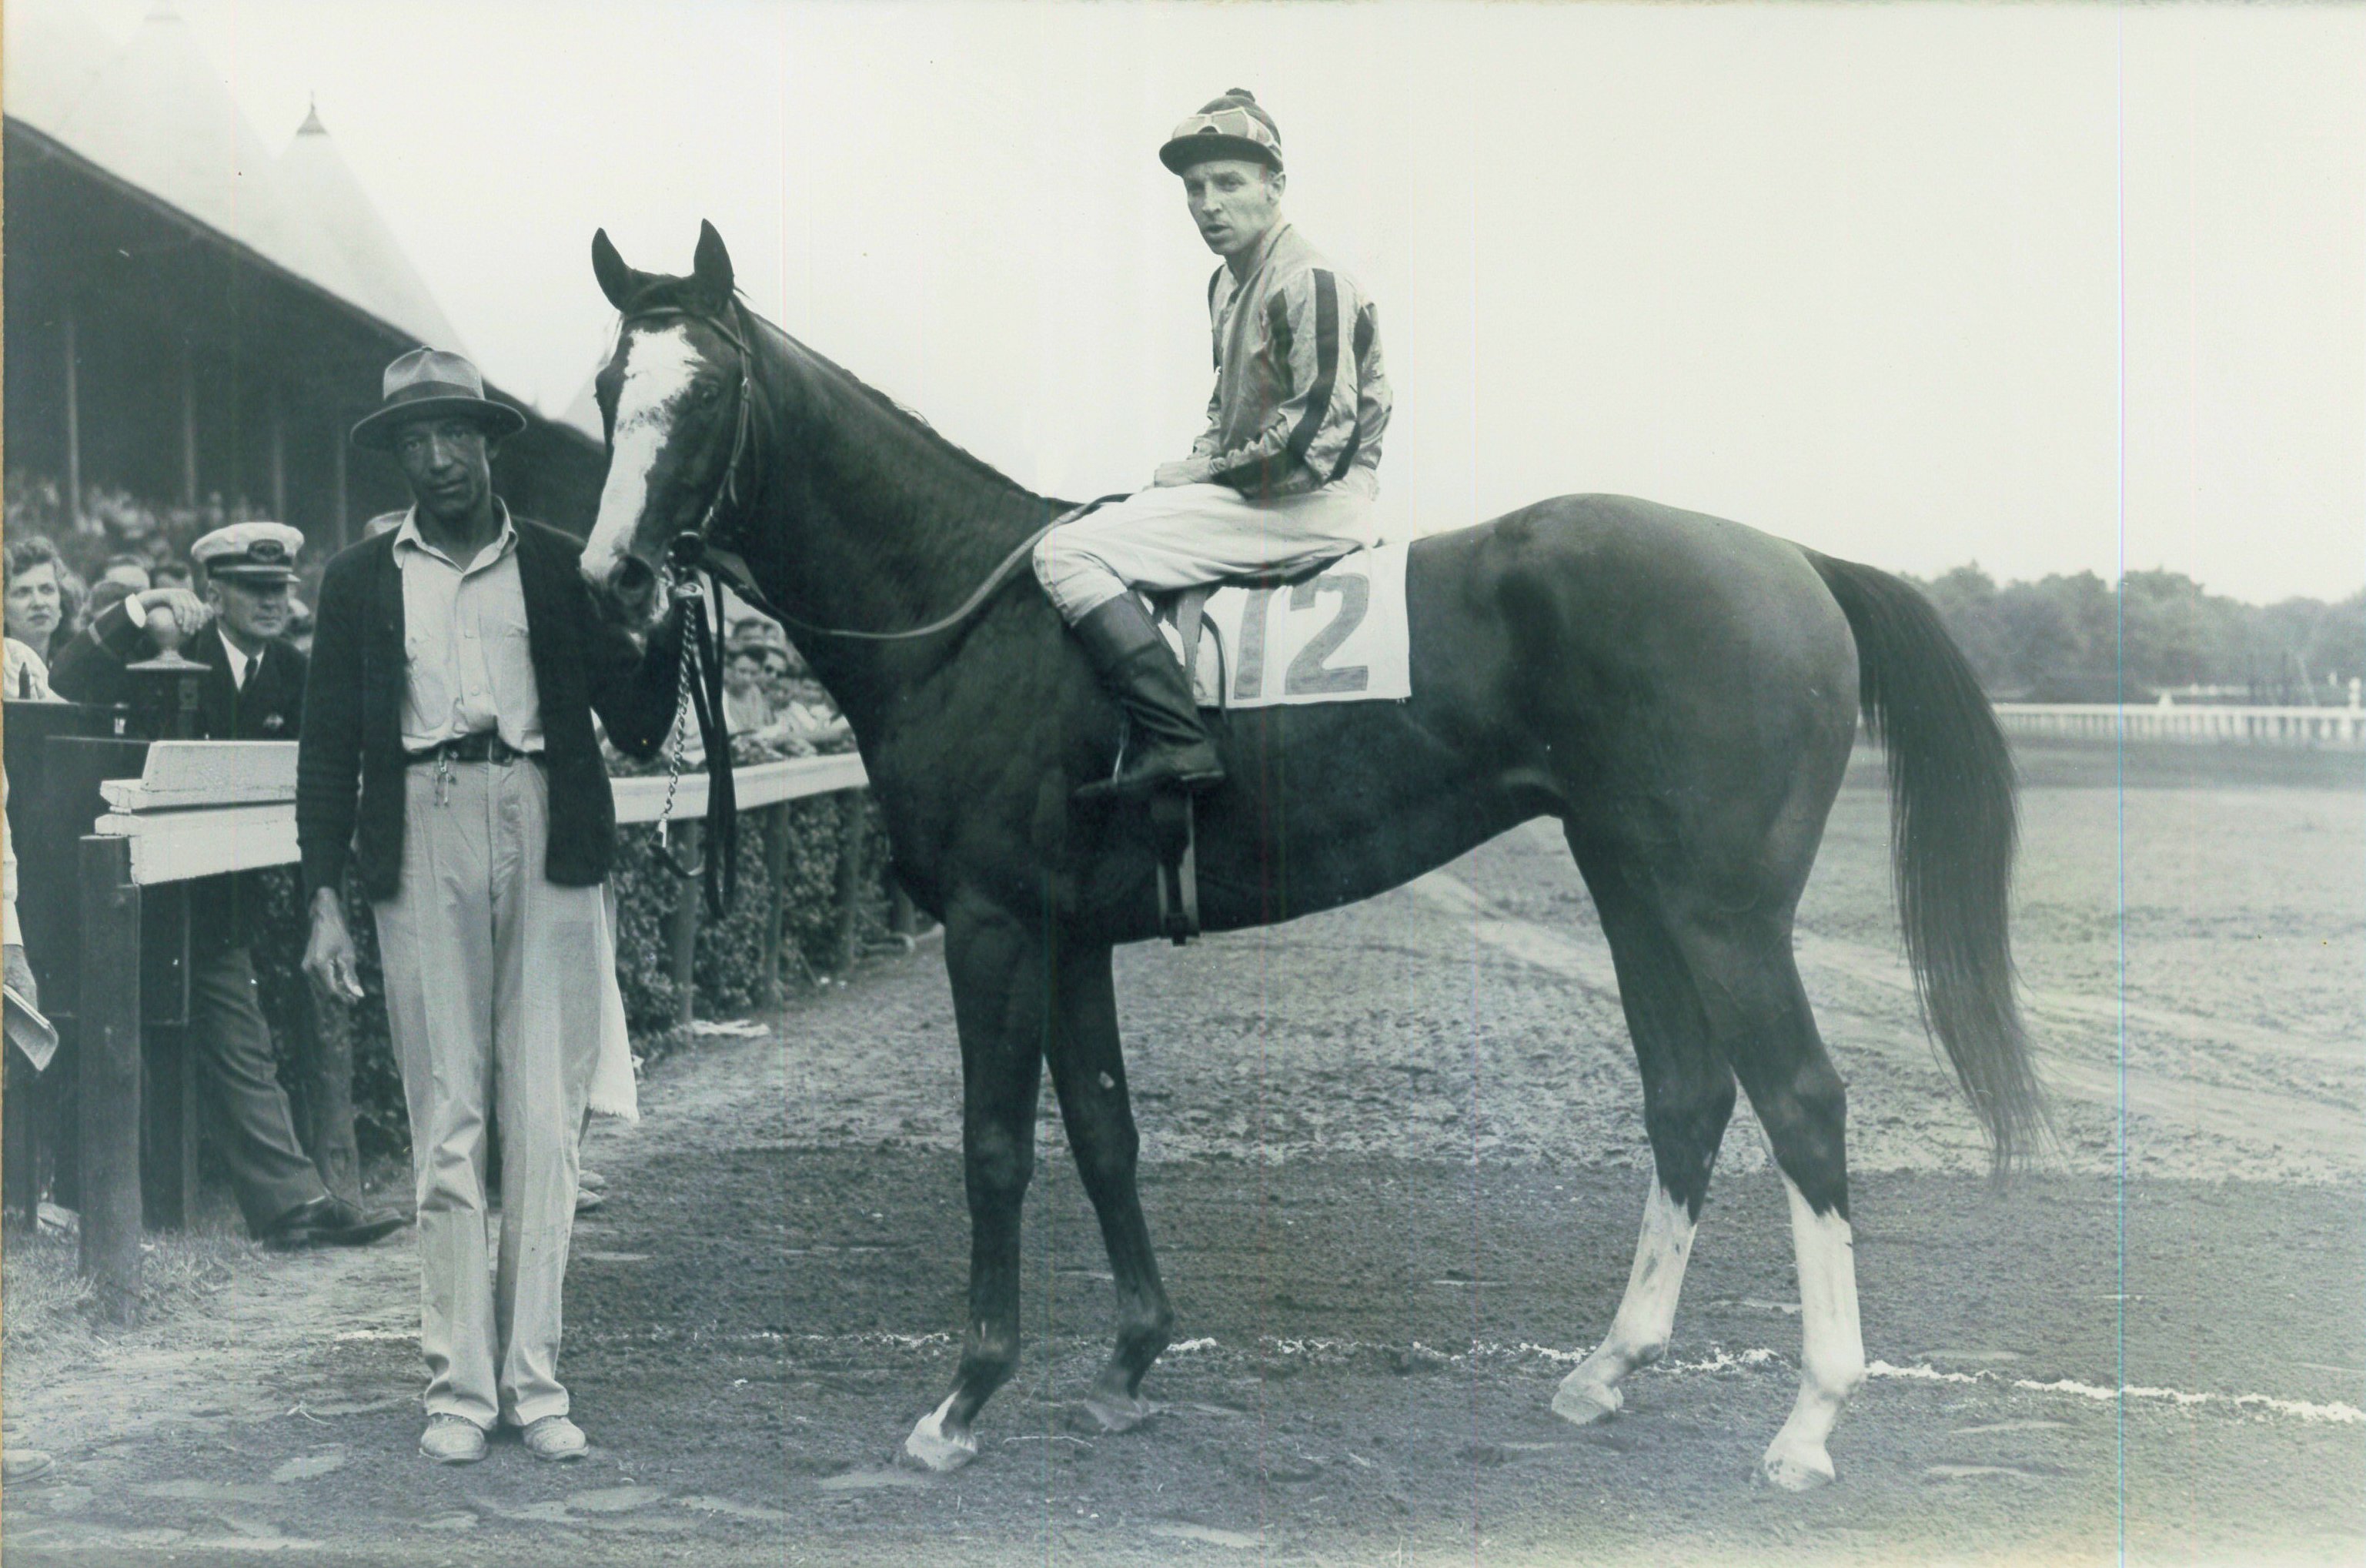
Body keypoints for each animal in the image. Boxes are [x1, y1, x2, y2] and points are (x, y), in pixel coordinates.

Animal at [582, 217, 2044, 1485]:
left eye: (704, 392)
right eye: (606, 386)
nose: (616, 581)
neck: (972, 612)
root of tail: (1789, 557)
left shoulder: (993, 925)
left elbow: (993, 1143)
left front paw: (960, 1400)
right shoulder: (1068, 933)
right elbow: (1103, 1131)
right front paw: (1126, 1362)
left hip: (1722, 908)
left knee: (1800, 1100)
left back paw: (1808, 1422)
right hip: (1633, 884)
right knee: (1685, 1093)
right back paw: (1608, 1367)